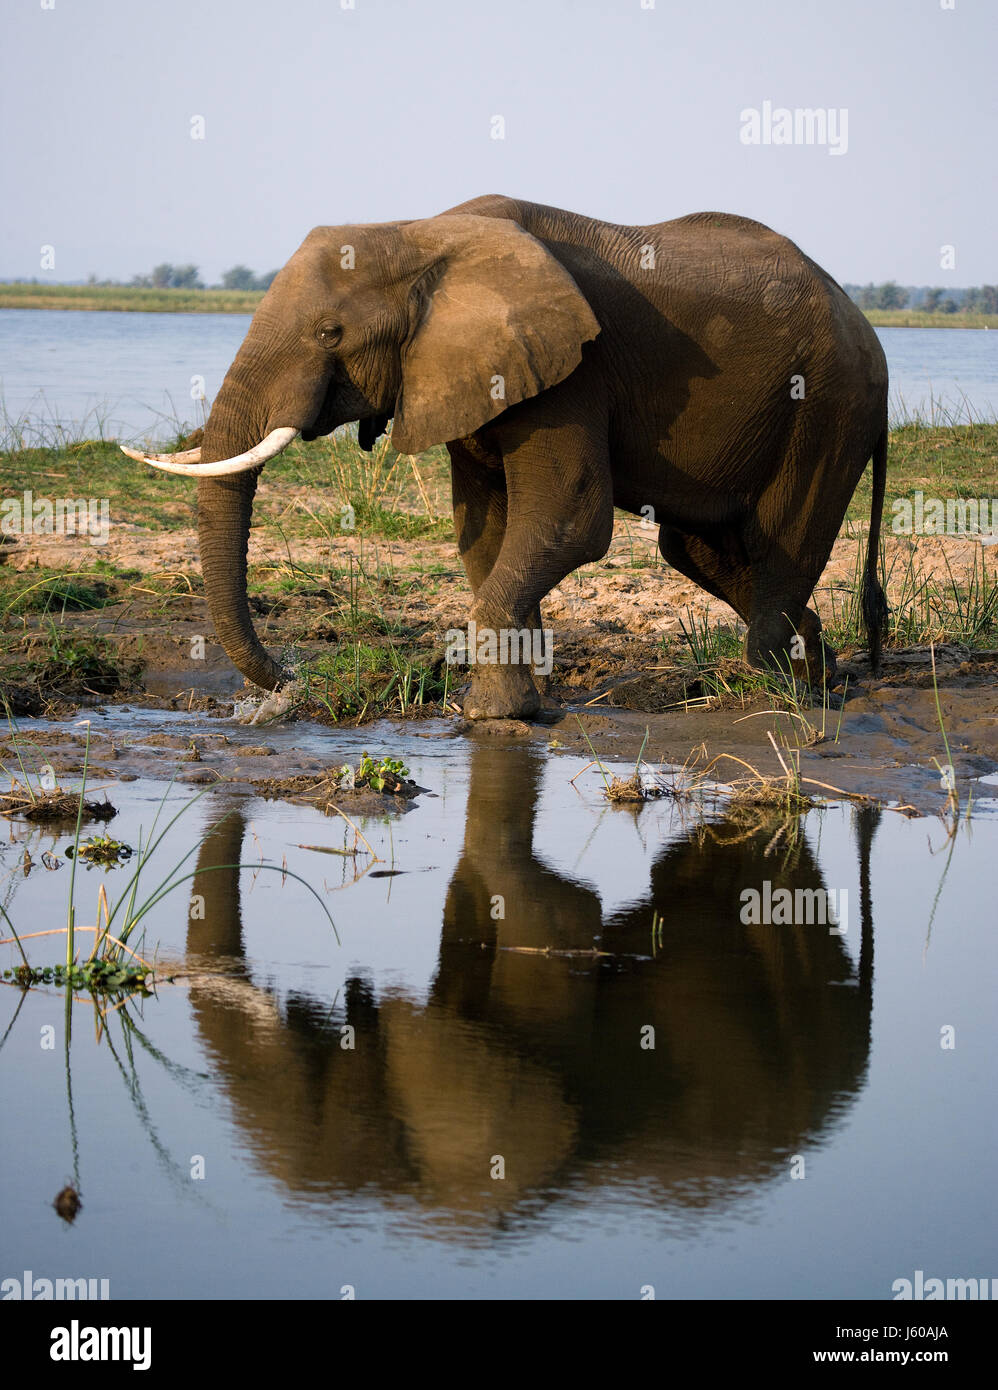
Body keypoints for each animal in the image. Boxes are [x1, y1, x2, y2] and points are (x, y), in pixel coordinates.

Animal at [125, 198, 889, 717]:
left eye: (329, 332)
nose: (288, 683)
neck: (421, 231)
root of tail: (867, 328)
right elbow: (484, 532)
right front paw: (525, 702)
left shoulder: (572, 371)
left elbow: (570, 516)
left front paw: (491, 715)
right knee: (697, 549)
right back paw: (821, 671)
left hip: (828, 404)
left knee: (779, 538)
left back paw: (772, 687)